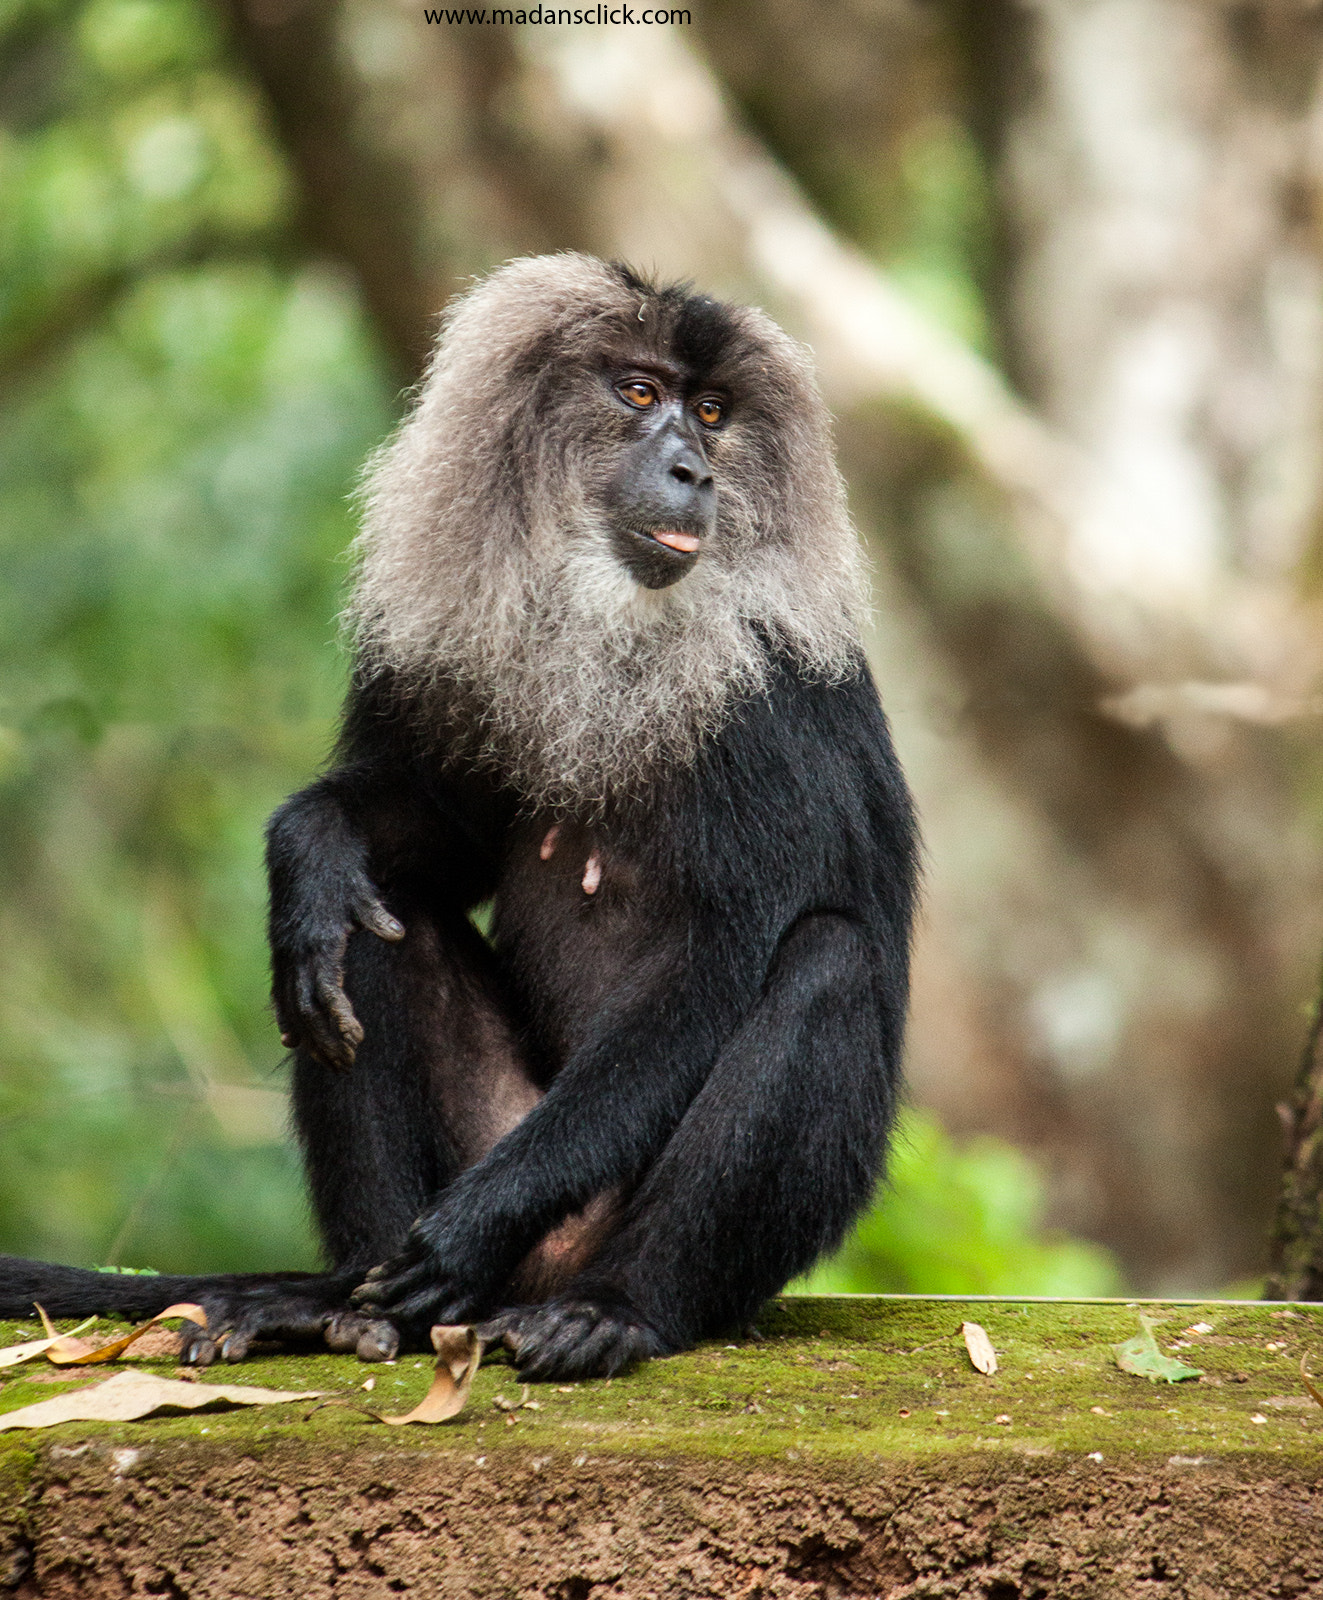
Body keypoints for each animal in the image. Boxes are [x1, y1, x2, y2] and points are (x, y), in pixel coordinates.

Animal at [0, 255, 919, 1381]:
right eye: (640, 393)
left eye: (713, 413)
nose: (694, 471)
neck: (609, 614)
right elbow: (439, 847)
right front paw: (309, 847)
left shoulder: (768, 698)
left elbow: (714, 963)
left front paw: (470, 1231)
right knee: (367, 926)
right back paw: (347, 1305)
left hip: (613, 1225)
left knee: (828, 959)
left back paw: (615, 1308)